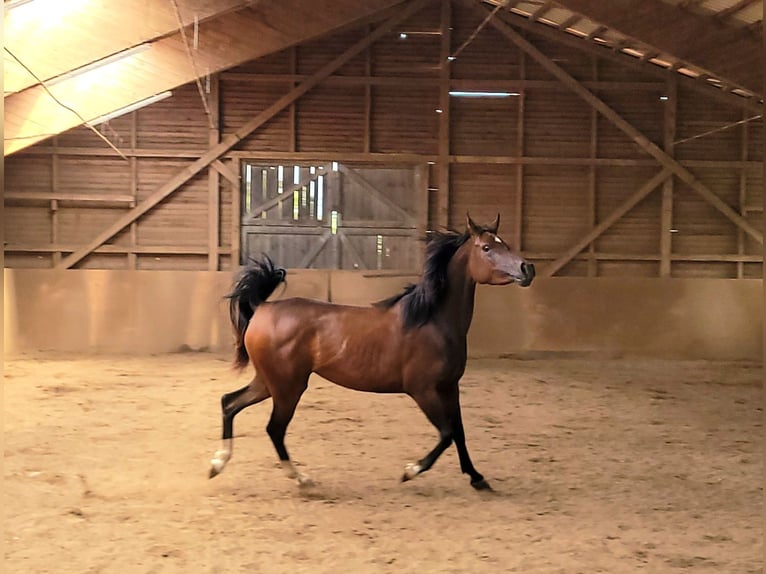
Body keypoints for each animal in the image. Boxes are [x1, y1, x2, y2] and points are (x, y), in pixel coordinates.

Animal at [209, 214, 535, 490]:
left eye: (504, 243)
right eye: (487, 247)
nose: (527, 269)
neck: (432, 320)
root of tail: (262, 307)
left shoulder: (449, 387)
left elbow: (459, 432)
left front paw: (477, 478)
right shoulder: (423, 390)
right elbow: (446, 434)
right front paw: (410, 471)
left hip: (270, 382)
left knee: (229, 403)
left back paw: (217, 463)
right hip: (288, 387)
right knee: (274, 428)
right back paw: (300, 478)